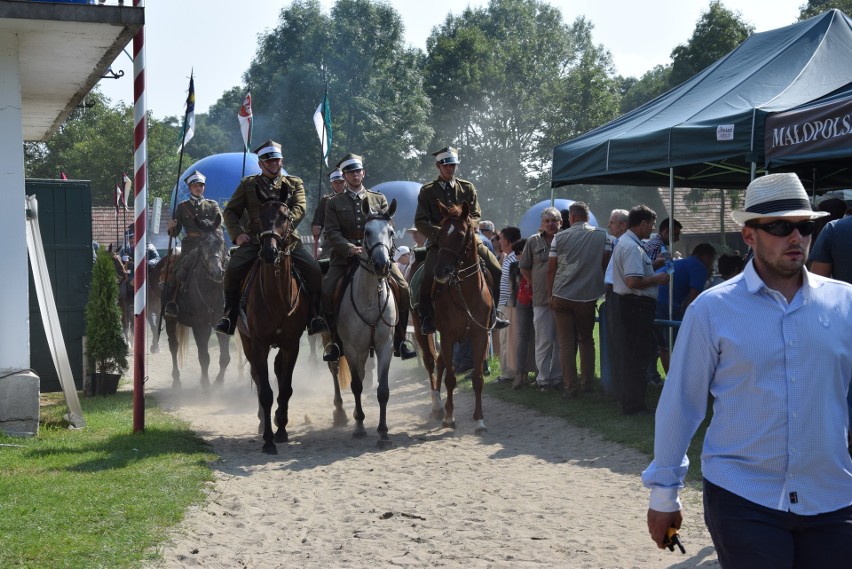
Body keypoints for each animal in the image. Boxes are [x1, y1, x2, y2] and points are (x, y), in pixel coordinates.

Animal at [236, 200, 310, 452]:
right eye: (260, 216)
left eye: (285, 217)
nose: (270, 251)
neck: (277, 295)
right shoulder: (258, 344)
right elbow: (266, 392)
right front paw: (268, 439)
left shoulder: (292, 345)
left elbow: (285, 389)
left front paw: (282, 430)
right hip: (247, 343)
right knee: (259, 379)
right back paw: (263, 422)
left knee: (277, 370)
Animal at [334, 200, 398, 448]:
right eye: (366, 232)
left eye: (391, 232)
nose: (382, 264)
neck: (371, 297)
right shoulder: (353, 349)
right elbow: (356, 386)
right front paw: (360, 426)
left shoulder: (385, 346)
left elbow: (383, 390)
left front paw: (383, 431)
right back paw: (342, 414)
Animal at [432, 200, 492, 430]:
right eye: (439, 234)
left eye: (459, 236)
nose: (440, 272)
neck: (466, 292)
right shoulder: (447, 336)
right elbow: (450, 378)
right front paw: (450, 416)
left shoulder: (480, 336)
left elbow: (478, 378)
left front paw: (480, 419)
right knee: (436, 362)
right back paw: (438, 407)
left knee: (439, 361)